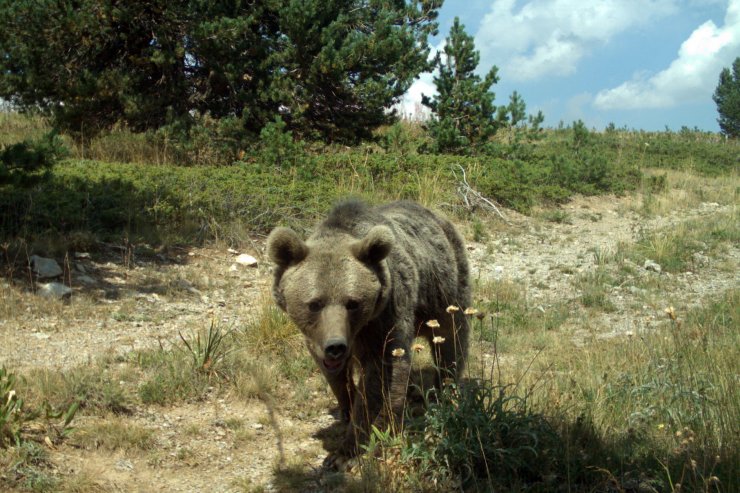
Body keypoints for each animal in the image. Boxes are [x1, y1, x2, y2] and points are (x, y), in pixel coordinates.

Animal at [266, 199, 472, 466]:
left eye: (352, 302)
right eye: (314, 303)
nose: (335, 346)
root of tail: (437, 215)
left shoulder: (384, 318)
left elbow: (382, 376)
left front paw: (347, 450)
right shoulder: (317, 337)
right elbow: (334, 375)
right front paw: (346, 406)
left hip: (445, 287)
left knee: (452, 341)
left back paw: (444, 392)